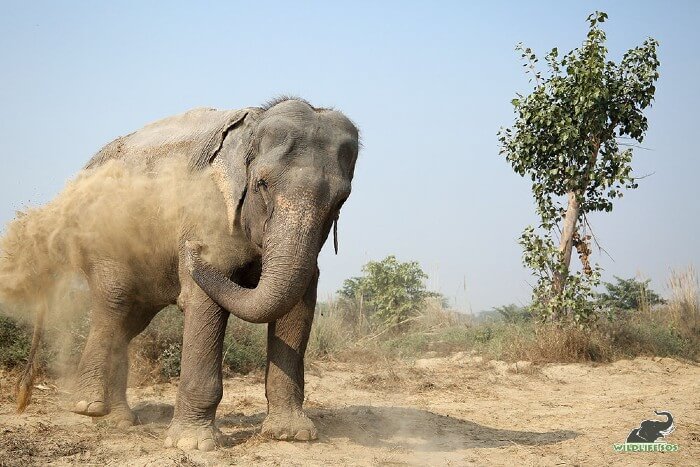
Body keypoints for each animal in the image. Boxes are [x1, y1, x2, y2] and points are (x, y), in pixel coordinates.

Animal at [8, 97, 360, 452]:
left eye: (341, 200)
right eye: (262, 184)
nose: (192, 249)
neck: (254, 126)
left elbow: (298, 304)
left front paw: (292, 435)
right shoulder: (206, 210)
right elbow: (203, 302)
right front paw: (194, 444)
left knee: (131, 321)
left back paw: (118, 420)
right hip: (103, 238)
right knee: (115, 303)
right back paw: (89, 408)